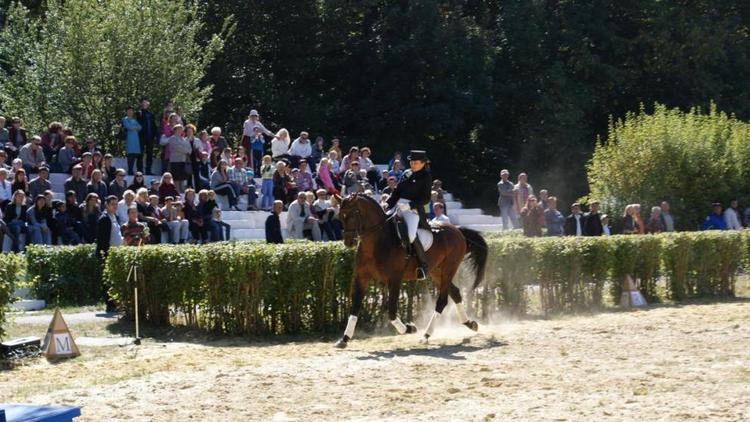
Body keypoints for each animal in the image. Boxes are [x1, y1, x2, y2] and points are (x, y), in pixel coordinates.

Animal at [334, 193, 488, 348]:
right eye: (341, 216)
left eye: (355, 213)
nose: (349, 242)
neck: (377, 241)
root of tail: (457, 230)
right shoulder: (361, 277)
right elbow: (355, 308)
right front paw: (344, 339)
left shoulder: (394, 279)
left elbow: (391, 311)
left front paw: (409, 328)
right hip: (436, 272)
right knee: (455, 293)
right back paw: (470, 324)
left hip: (449, 269)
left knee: (442, 301)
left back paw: (426, 335)